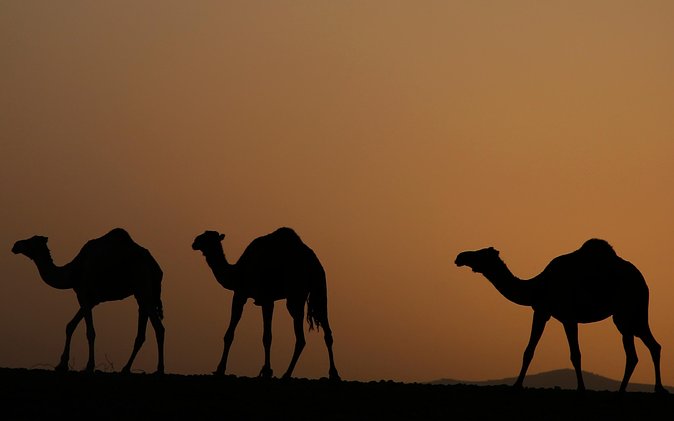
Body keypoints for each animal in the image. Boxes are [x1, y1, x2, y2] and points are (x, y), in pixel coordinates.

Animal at [12, 228, 165, 374]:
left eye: (31, 241)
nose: (15, 245)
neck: (72, 272)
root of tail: (155, 267)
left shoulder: (83, 295)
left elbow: (90, 332)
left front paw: (89, 366)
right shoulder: (91, 300)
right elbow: (70, 326)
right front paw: (61, 364)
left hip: (143, 288)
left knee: (159, 328)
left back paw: (159, 369)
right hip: (143, 294)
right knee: (143, 333)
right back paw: (126, 368)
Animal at [192, 227, 340, 380]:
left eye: (208, 237)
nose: (194, 242)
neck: (238, 272)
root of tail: (316, 265)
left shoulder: (244, 294)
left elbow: (260, 336)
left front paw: (222, 369)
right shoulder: (261, 299)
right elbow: (260, 335)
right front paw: (265, 370)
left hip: (296, 296)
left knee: (301, 338)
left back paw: (287, 374)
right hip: (318, 291)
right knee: (325, 330)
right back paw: (333, 374)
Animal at [455, 239, 667, 393]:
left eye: (481, 253)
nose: (460, 256)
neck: (538, 286)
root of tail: (643, 282)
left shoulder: (568, 317)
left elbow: (575, 354)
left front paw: (581, 388)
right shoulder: (542, 311)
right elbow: (529, 350)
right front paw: (517, 384)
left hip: (627, 312)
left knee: (635, 352)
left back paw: (626, 390)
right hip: (631, 316)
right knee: (650, 347)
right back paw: (654, 389)